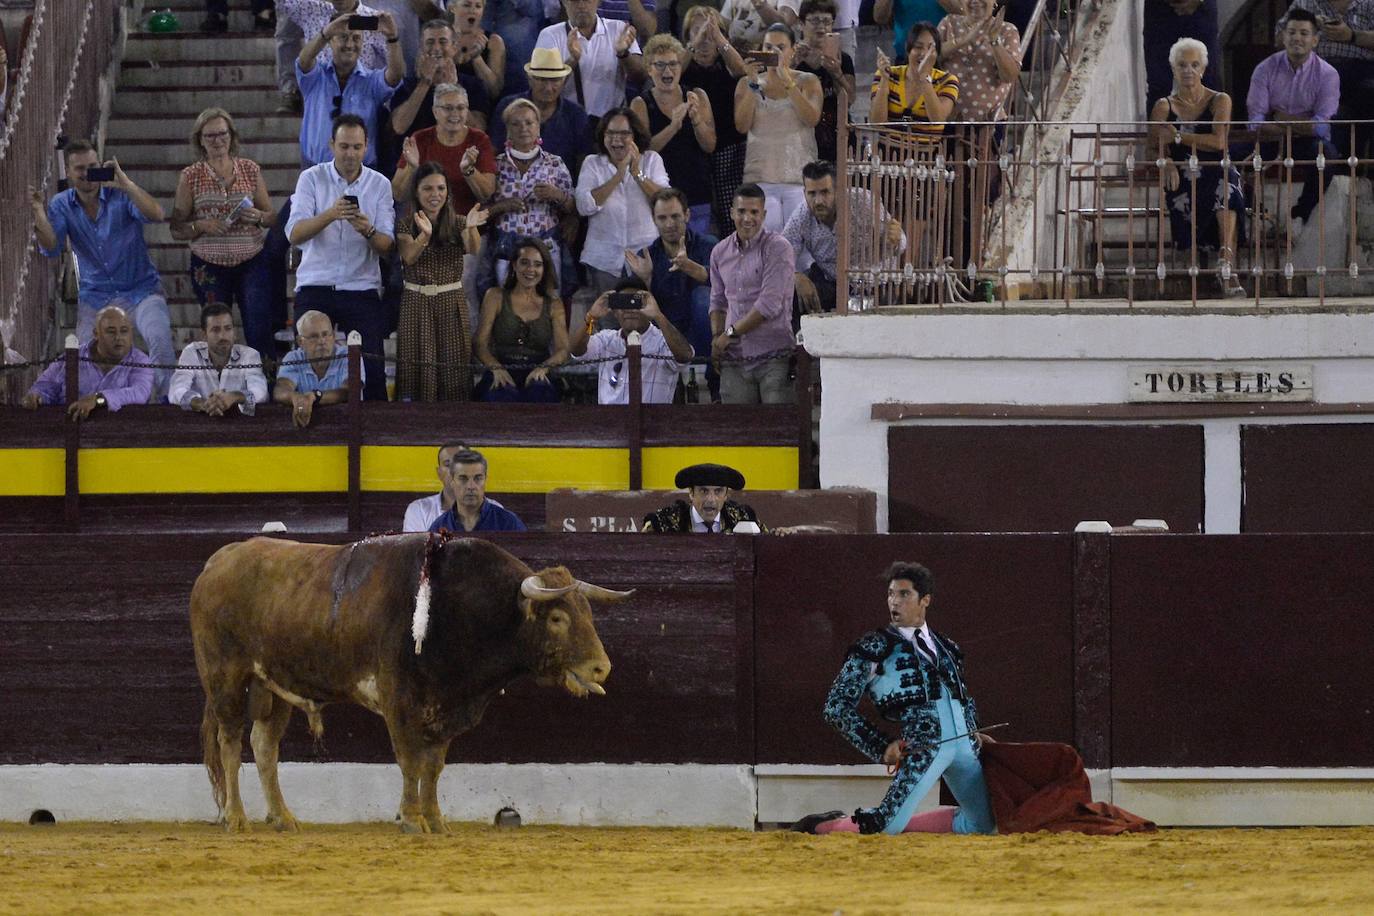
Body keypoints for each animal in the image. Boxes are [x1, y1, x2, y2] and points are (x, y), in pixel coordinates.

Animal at [189, 532, 629, 834]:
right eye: (557, 618)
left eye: (588, 612)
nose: (601, 668)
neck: (458, 608)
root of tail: (218, 561)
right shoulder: (398, 701)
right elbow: (409, 760)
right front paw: (412, 820)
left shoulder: (446, 706)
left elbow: (433, 766)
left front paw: (436, 820)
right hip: (226, 678)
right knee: (230, 743)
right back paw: (236, 818)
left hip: (274, 684)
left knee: (264, 745)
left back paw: (283, 817)